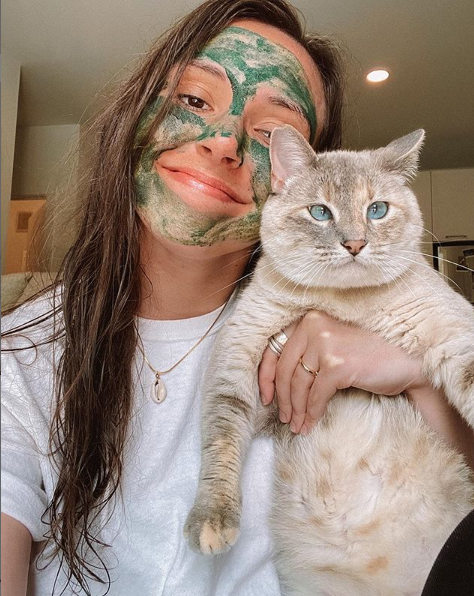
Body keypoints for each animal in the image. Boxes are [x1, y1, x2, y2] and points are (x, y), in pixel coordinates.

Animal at [184, 127, 474, 596]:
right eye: (320, 212)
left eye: (377, 210)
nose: (355, 244)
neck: (340, 304)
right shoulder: (244, 372)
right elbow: (221, 442)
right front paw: (212, 523)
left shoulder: (455, 335)